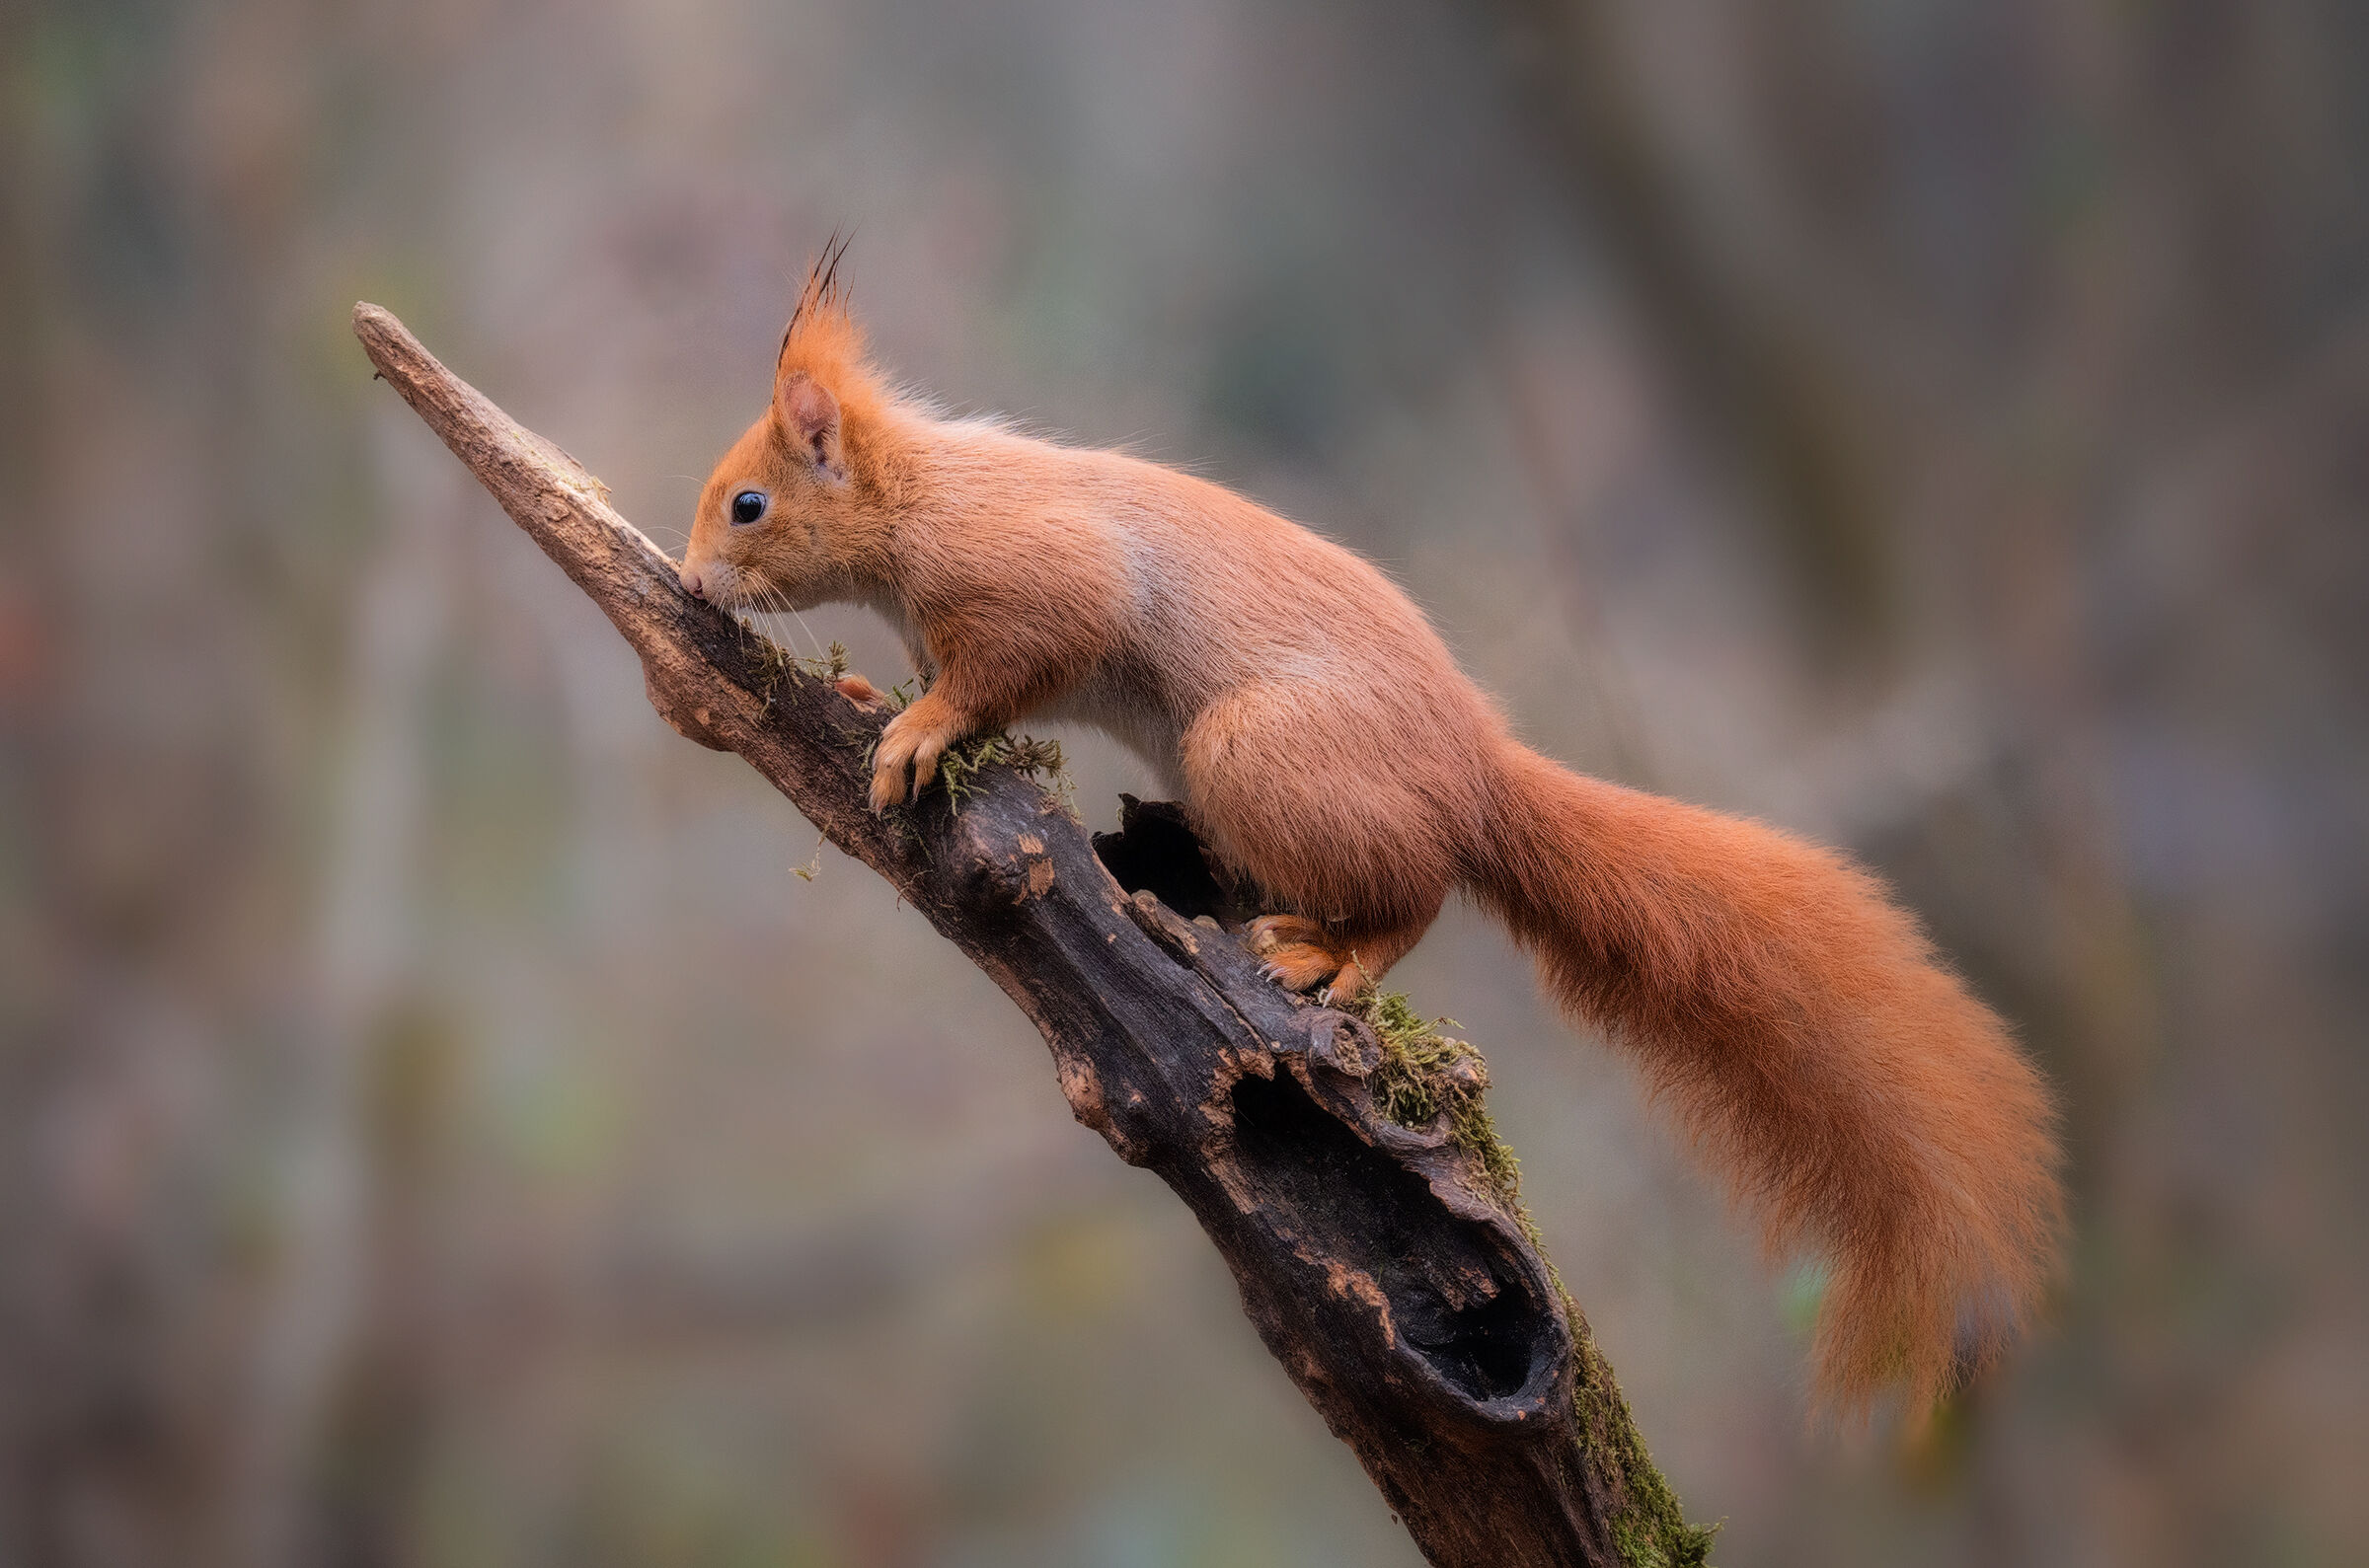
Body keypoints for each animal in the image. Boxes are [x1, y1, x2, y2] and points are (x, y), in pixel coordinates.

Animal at [678, 253, 2063, 1417]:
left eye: (747, 503)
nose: (691, 583)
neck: (924, 494)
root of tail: (1476, 771)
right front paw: (877, 698)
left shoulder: (1034, 581)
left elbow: (1007, 666)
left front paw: (918, 730)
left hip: (1260, 756)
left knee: (1417, 896)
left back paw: (1329, 957)